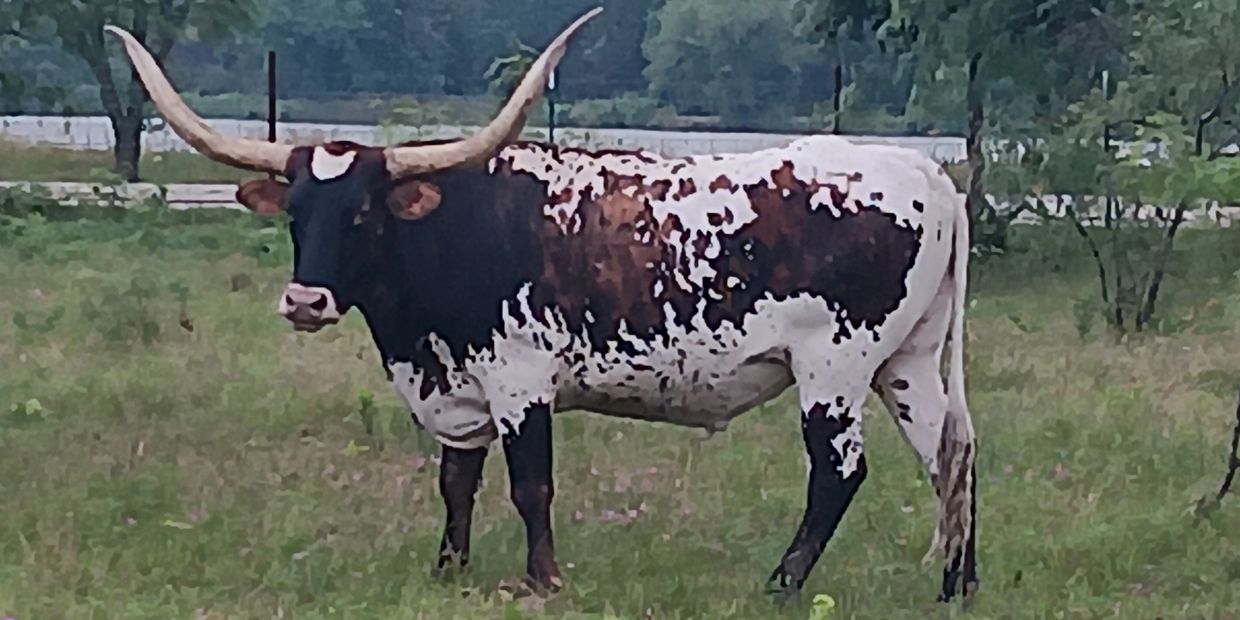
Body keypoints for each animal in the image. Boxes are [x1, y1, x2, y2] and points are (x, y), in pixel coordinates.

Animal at [105, 7, 978, 602]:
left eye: (362, 214)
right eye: (296, 212)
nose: (306, 298)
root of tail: (929, 174)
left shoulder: (519, 378)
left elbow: (531, 483)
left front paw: (542, 580)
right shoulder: (455, 384)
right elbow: (457, 480)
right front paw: (447, 570)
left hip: (835, 364)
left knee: (840, 472)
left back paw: (781, 585)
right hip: (909, 362)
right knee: (953, 454)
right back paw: (955, 587)